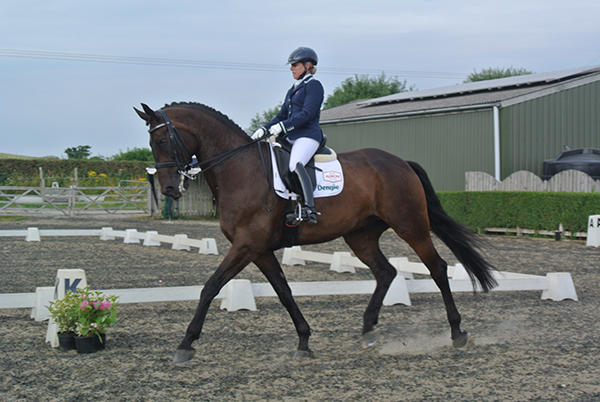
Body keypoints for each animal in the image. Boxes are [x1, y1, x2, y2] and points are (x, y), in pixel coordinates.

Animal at [136, 101, 496, 364]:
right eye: (152, 142)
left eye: (163, 140)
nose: (169, 189)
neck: (239, 170)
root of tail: (400, 162)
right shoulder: (259, 249)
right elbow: (283, 292)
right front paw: (304, 340)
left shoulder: (246, 245)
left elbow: (210, 287)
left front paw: (185, 344)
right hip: (361, 235)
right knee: (386, 272)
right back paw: (368, 329)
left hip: (410, 225)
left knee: (437, 268)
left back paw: (457, 332)